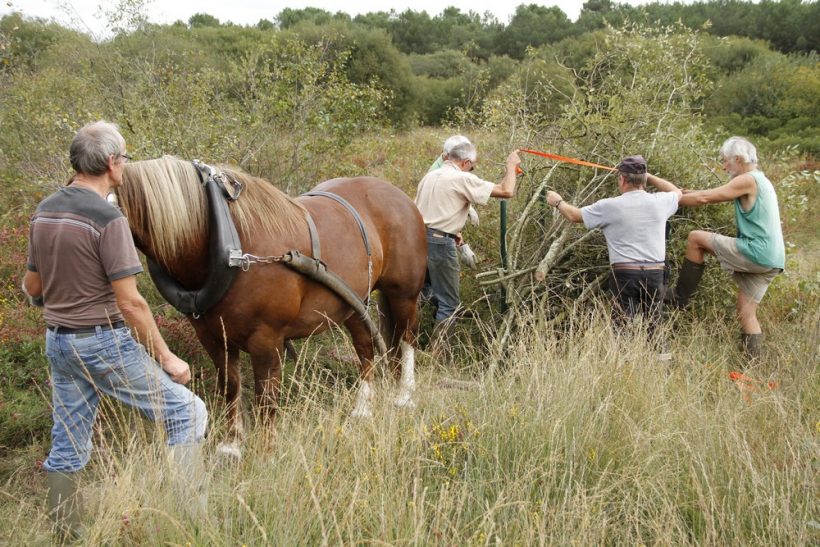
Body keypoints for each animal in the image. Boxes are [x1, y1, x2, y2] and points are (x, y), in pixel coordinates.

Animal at [120, 155, 430, 458]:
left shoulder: (266, 339)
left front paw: (266, 450)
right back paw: (362, 409)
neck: (232, 247)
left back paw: (405, 396)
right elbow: (230, 386)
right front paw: (231, 446)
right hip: (353, 302)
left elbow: (265, 396)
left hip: (403, 294)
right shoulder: (212, 337)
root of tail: (399, 196)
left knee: (406, 338)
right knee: (365, 347)